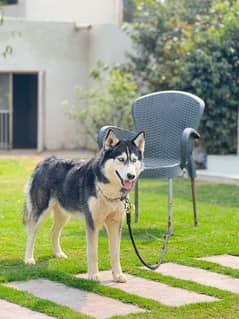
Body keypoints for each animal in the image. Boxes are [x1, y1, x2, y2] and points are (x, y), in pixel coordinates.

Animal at [23, 130, 145, 282]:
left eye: (134, 160)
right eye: (121, 159)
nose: (131, 176)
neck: (108, 190)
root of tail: (44, 161)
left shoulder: (115, 223)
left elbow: (115, 253)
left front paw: (118, 275)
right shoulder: (92, 223)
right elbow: (92, 252)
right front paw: (93, 275)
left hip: (63, 214)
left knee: (53, 231)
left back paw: (58, 253)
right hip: (40, 212)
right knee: (31, 233)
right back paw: (29, 258)